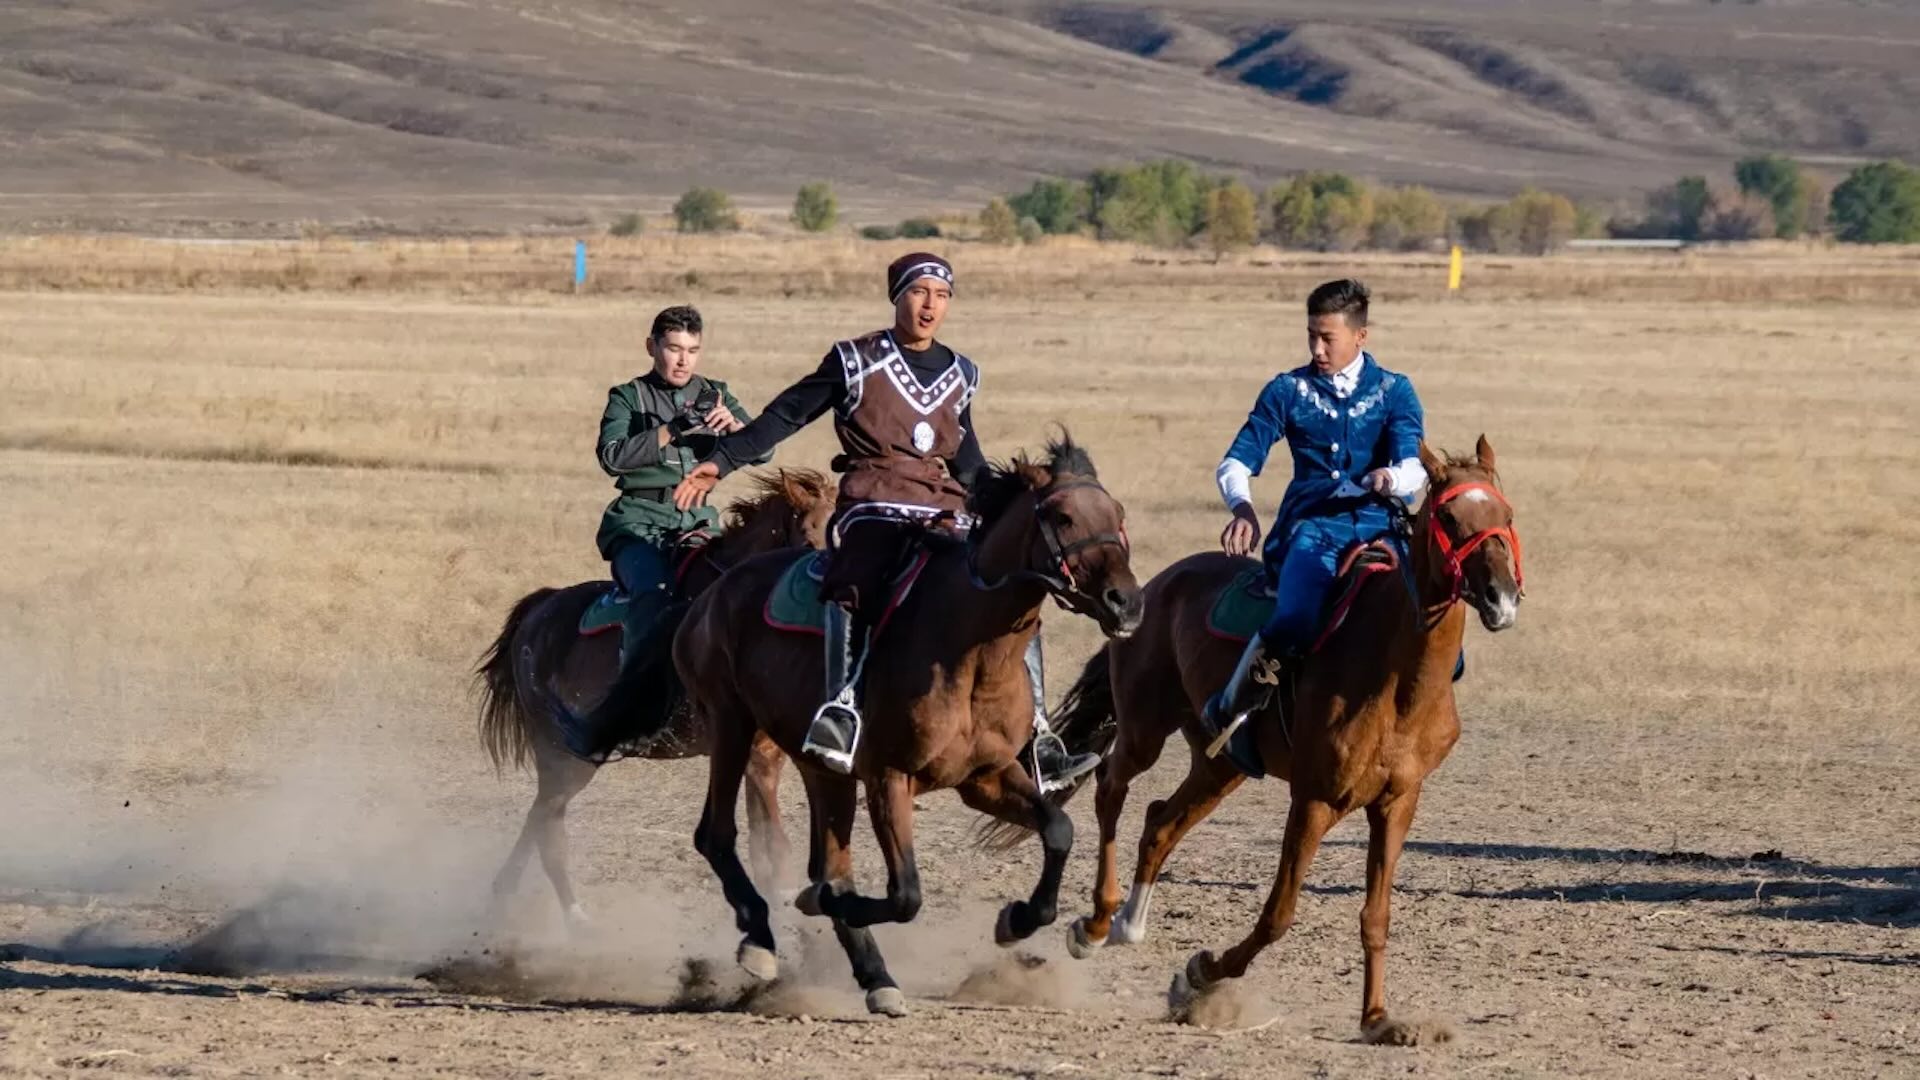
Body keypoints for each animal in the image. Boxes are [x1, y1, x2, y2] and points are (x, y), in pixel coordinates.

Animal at [472, 466, 833, 930]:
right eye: (808, 537)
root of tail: (538, 612)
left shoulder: (769, 753)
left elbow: (767, 847)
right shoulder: (748, 750)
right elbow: (774, 848)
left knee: (538, 819)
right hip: (564, 756)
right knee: (549, 827)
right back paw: (573, 919)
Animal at [668, 432, 1136, 1014]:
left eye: (1117, 515)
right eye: (1063, 516)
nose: (1127, 602)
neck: (970, 648)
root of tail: (712, 594)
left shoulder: (985, 777)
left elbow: (1058, 830)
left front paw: (1017, 920)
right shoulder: (888, 778)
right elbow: (905, 894)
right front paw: (819, 904)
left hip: (823, 770)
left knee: (829, 862)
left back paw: (875, 976)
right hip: (731, 725)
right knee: (717, 834)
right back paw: (760, 938)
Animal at [1029, 432, 1520, 1037]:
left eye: (1506, 515)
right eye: (1450, 517)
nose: (1501, 598)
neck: (1397, 680)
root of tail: (1155, 586)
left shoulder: (1397, 802)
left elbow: (1376, 915)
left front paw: (1377, 1019)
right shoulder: (1313, 800)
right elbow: (1278, 915)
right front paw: (1200, 971)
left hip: (1223, 765)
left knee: (1161, 822)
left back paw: (1128, 923)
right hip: (1145, 729)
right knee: (1112, 791)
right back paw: (1097, 922)